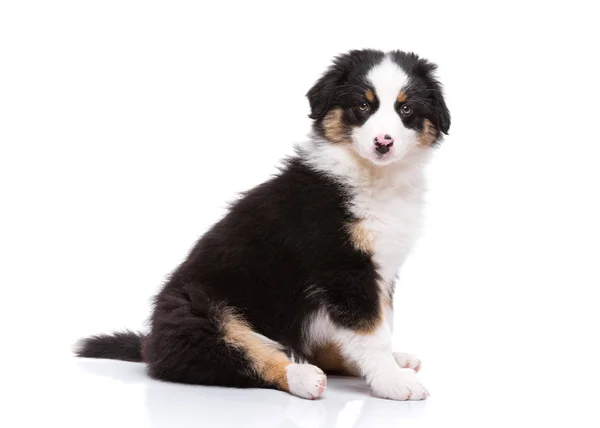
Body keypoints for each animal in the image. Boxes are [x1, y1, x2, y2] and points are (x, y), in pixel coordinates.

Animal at [76, 49, 450, 402]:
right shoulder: (342, 267)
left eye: (406, 110)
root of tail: (150, 343)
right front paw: (393, 383)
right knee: (239, 355)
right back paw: (303, 377)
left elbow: (381, 321)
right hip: (199, 313)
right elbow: (370, 331)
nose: (383, 142)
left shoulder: (383, 271)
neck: (375, 177)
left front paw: (388, 368)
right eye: (362, 106)